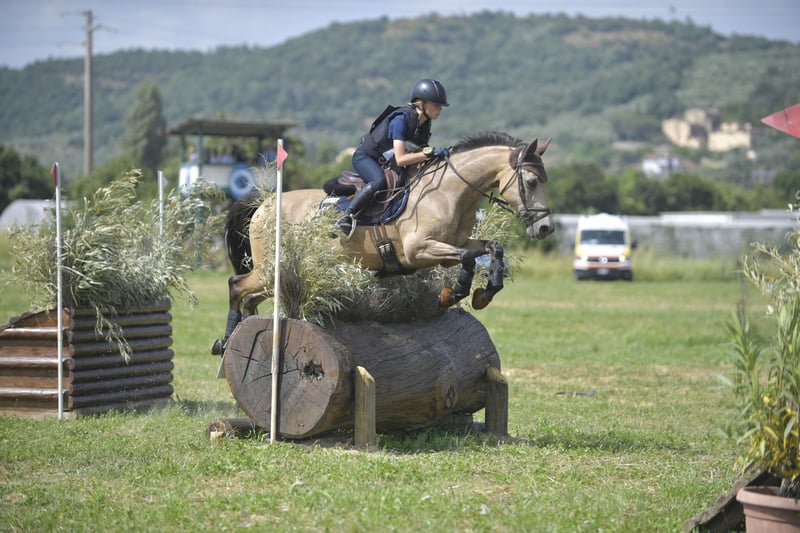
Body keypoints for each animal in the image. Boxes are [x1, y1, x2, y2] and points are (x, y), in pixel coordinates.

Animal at [213, 131, 553, 353]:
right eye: (531, 182)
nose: (546, 228)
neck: (448, 193)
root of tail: (265, 204)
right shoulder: (419, 250)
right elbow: (467, 260)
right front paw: (452, 294)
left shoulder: (453, 246)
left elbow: (492, 248)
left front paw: (485, 293)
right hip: (272, 270)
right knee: (235, 286)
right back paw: (226, 342)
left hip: (276, 276)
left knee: (249, 298)